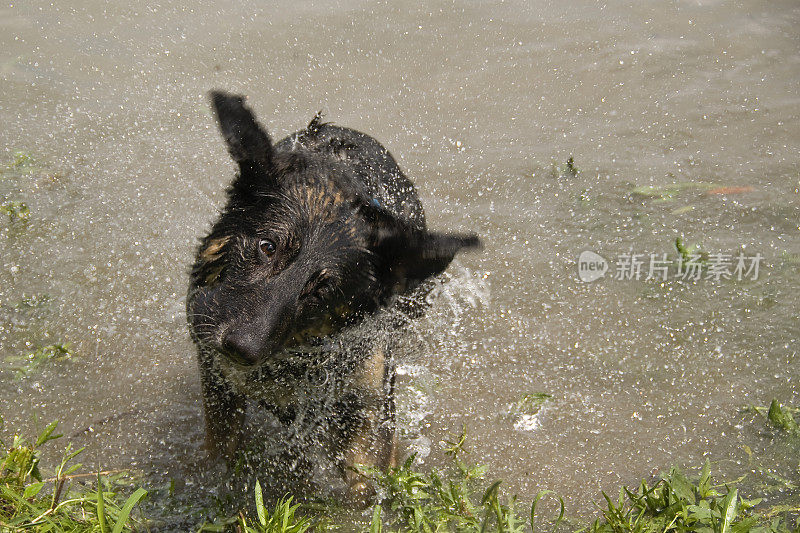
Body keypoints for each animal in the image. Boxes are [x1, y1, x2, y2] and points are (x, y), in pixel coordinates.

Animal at [186, 91, 482, 498]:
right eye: (267, 247)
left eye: (324, 290)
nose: (240, 348)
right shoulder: (218, 382)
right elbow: (222, 455)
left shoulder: (365, 409)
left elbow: (363, 485)